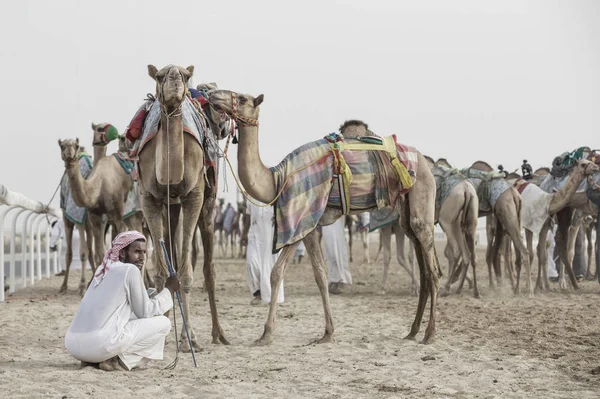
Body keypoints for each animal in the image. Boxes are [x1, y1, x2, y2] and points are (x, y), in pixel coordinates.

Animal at [138, 64, 230, 352]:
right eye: (159, 76)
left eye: (186, 75)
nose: (175, 80)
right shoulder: (149, 198)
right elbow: (161, 272)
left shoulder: (194, 196)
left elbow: (187, 273)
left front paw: (191, 339)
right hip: (171, 208)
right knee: (172, 260)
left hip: (207, 206)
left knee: (207, 269)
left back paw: (218, 333)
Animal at [210, 90, 440, 344]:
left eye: (242, 98)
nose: (213, 95)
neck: (276, 179)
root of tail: (425, 163)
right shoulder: (309, 224)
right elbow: (320, 273)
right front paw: (327, 333)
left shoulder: (299, 218)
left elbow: (276, 272)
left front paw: (266, 334)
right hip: (407, 214)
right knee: (424, 268)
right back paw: (412, 331)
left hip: (422, 200)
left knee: (433, 272)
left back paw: (429, 334)